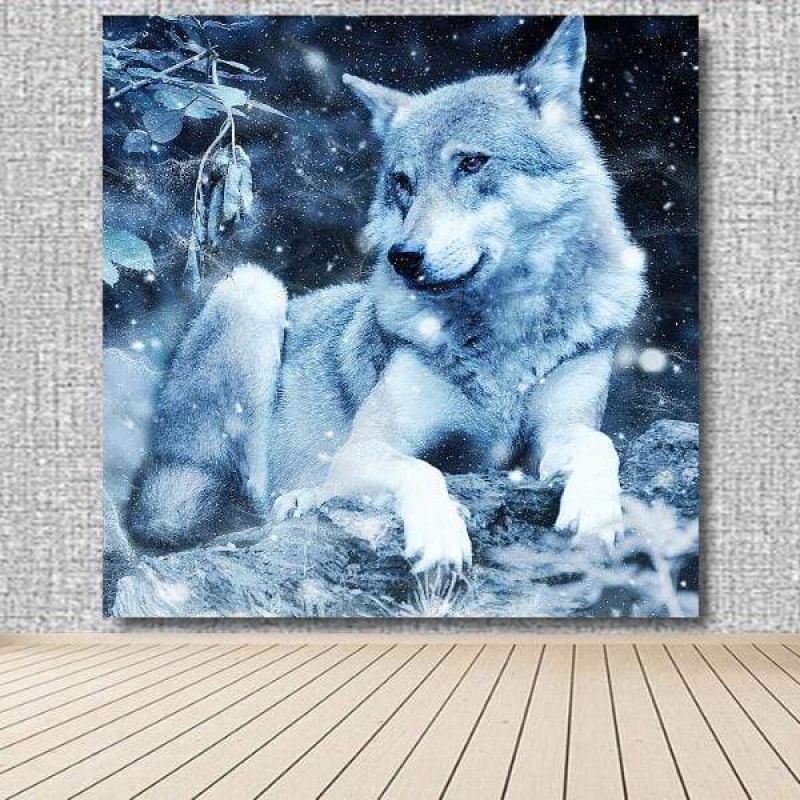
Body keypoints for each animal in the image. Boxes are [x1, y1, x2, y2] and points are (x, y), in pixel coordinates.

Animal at [128, 16, 646, 574]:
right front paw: (441, 535)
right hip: (253, 289)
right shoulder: (365, 449)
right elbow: (424, 471)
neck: (503, 332)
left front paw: (597, 511)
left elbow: (601, 444)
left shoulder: (551, 440)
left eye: (472, 163)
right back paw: (299, 499)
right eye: (402, 181)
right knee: (243, 511)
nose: (404, 256)